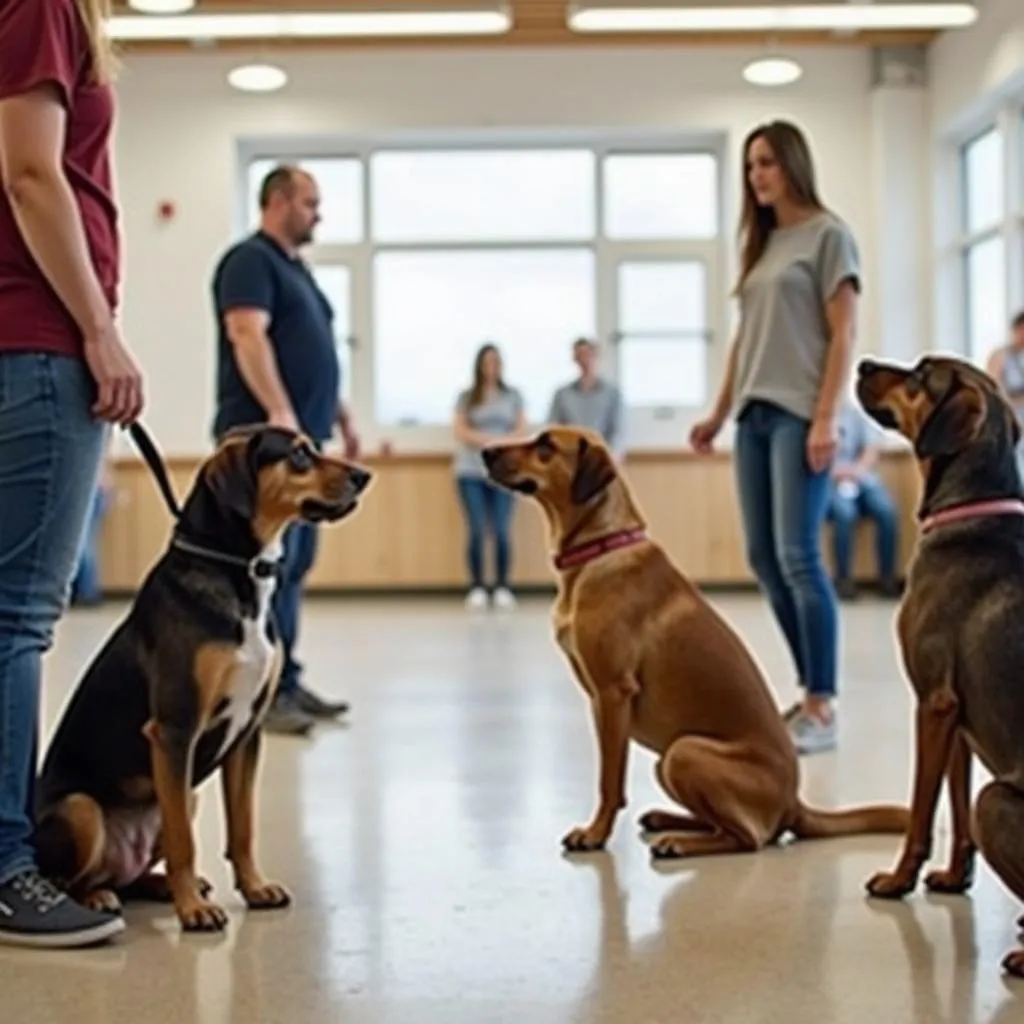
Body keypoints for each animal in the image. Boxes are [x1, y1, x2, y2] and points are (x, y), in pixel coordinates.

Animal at [34, 419, 374, 933]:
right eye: (298, 455)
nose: (363, 475)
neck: (242, 573)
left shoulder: (246, 735)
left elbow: (243, 827)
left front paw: (254, 888)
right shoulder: (175, 732)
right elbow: (184, 843)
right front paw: (192, 911)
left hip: (183, 796)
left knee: (130, 875)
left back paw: (156, 886)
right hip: (83, 809)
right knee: (71, 877)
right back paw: (99, 898)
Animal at [483, 428, 909, 860]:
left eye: (545, 446)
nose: (485, 451)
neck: (602, 547)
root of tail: (793, 804)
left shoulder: (613, 693)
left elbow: (609, 781)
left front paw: (595, 833)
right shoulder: (602, 699)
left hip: (683, 753)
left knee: (749, 838)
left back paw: (680, 843)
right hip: (668, 761)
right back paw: (666, 820)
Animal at [851, 352, 1024, 974]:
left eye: (922, 375)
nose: (861, 362)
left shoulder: (932, 704)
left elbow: (923, 807)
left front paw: (900, 878)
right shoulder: (958, 719)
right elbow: (954, 806)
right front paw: (953, 876)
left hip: (998, 800)